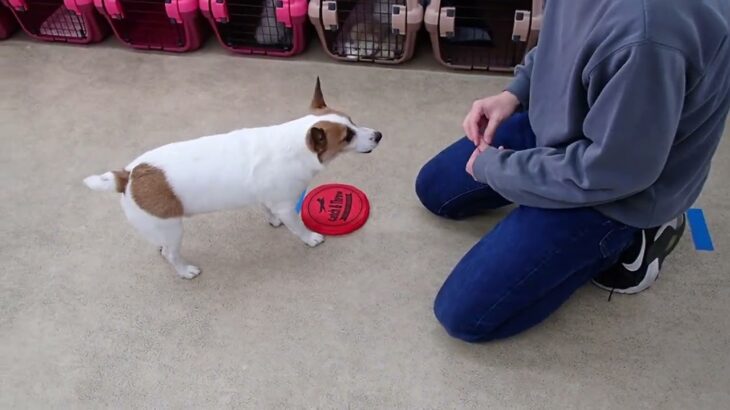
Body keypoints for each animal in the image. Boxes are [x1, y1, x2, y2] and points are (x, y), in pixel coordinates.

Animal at [84, 79, 382, 278]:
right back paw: (184, 270)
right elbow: (298, 227)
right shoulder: (287, 206)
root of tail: (129, 175)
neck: (295, 144)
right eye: (347, 137)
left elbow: (267, 209)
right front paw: (310, 238)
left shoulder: (267, 197)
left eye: (352, 121)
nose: (378, 135)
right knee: (171, 253)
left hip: (161, 227)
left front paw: (272, 221)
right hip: (173, 229)